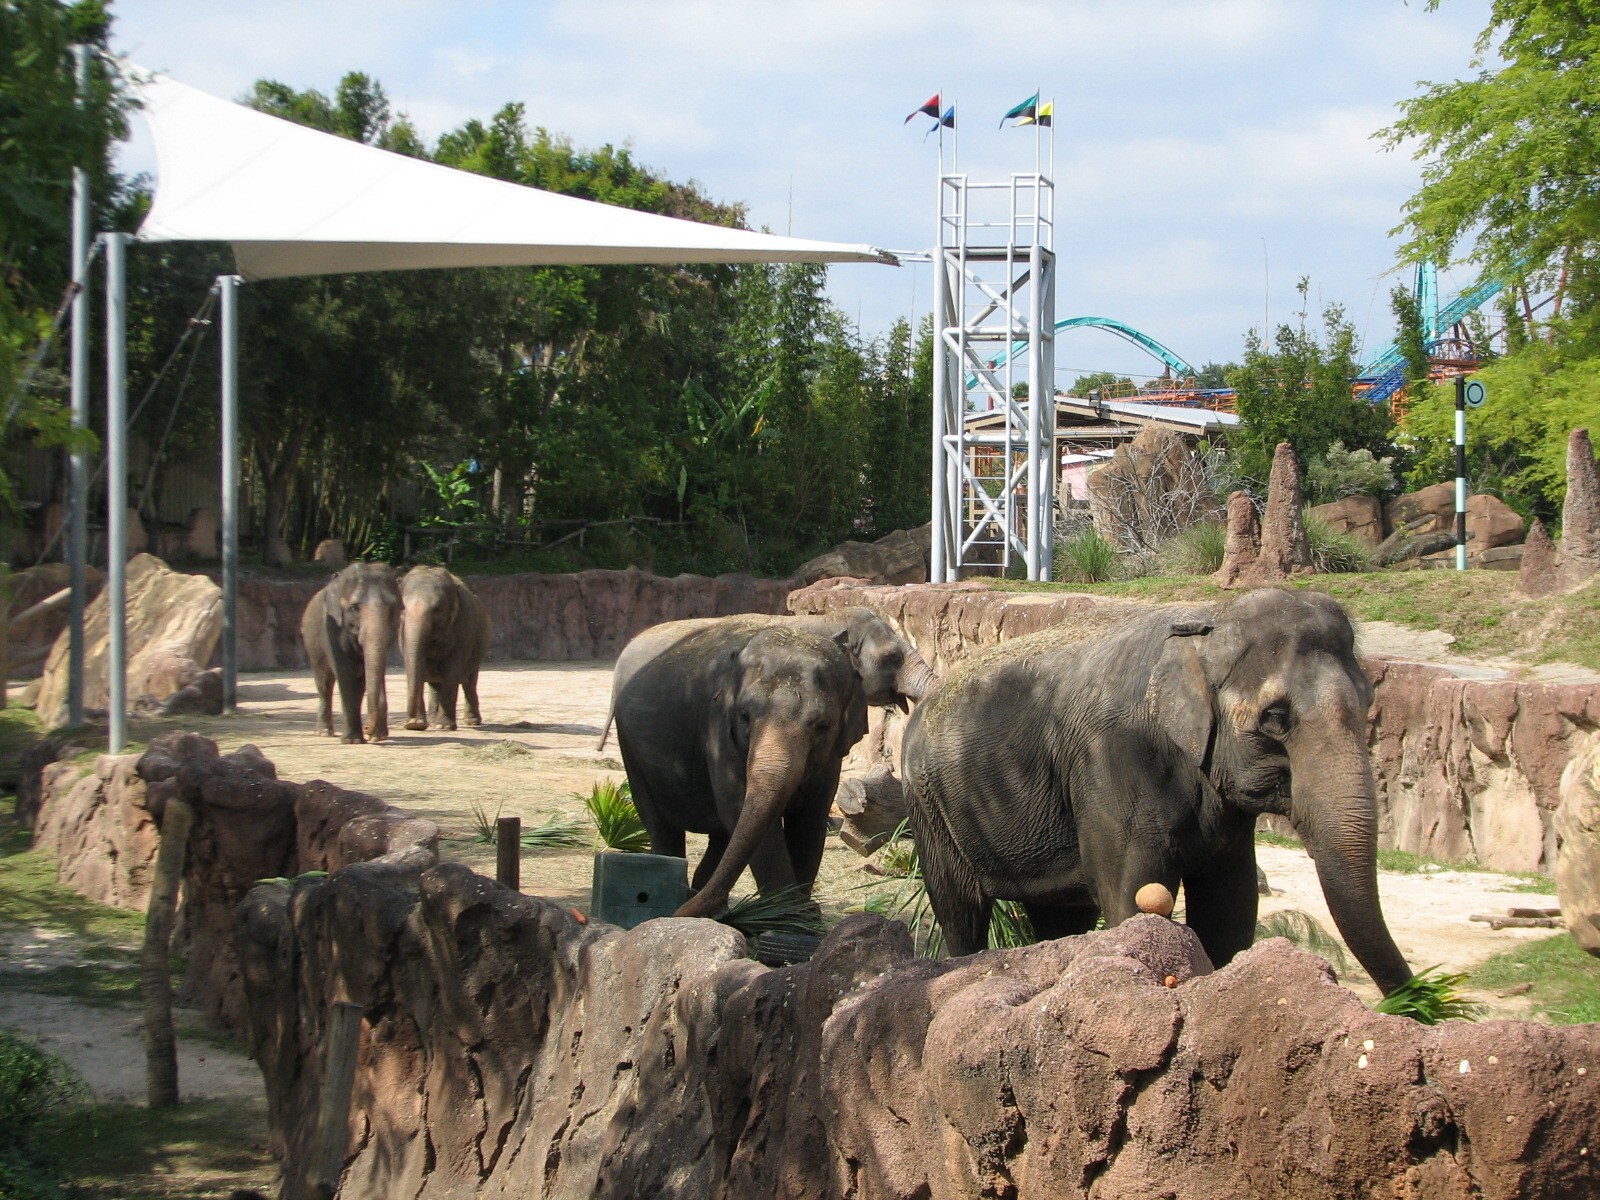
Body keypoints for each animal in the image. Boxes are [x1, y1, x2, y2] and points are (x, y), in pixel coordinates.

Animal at [300, 561, 402, 743]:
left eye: (392, 606)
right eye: (354, 607)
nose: (368, 728)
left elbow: (365, 676)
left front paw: (373, 737)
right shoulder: (331, 624)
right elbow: (345, 672)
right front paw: (352, 741)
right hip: (311, 642)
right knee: (324, 682)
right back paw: (323, 733)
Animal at [398, 566, 491, 731]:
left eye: (437, 609)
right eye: (402, 608)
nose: (410, 722)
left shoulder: (463, 629)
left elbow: (452, 670)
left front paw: (443, 726)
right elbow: (414, 668)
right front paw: (418, 725)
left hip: (478, 649)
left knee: (469, 682)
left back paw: (472, 721)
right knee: (436, 683)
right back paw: (432, 720)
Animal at [611, 620, 866, 918]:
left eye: (822, 726)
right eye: (744, 715)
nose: (677, 915)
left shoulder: (831, 757)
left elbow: (809, 819)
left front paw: (803, 914)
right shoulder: (718, 733)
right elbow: (738, 808)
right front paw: (788, 915)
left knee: (722, 837)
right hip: (631, 752)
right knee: (661, 826)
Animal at [900, 588, 1414, 995]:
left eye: (1368, 703)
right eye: (1274, 718)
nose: (1420, 1004)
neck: (1208, 621)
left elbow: (1230, 905)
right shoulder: (1112, 761)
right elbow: (1131, 896)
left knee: (1060, 917)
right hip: (929, 807)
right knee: (961, 909)